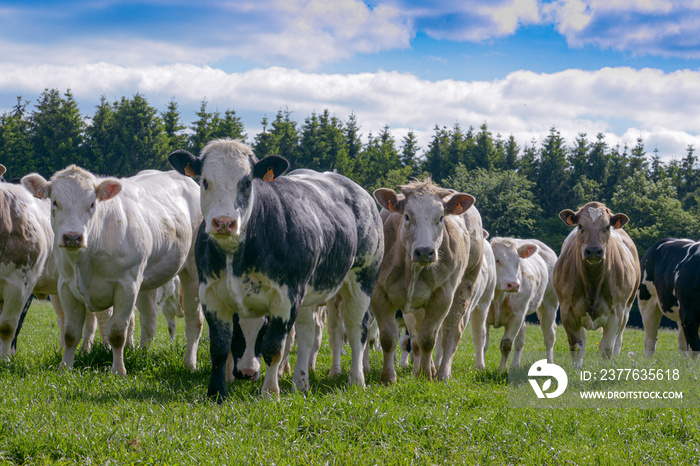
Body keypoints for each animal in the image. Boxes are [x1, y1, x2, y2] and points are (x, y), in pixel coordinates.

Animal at [21, 166, 202, 374]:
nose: (73, 237)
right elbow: (70, 334)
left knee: (194, 319)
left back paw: (190, 363)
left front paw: (118, 370)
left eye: (92, 204)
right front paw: (65, 367)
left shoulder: (127, 286)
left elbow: (117, 333)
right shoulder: (65, 287)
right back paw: (143, 354)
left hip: (192, 272)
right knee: (149, 320)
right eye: (55, 202)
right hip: (146, 282)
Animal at [169, 138, 382, 400]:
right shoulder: (211, 295)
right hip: (309, 293)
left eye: (247, 182)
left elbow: (274, 348)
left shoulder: (286, 299)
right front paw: (216, 392)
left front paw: (270, 391)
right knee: (307, 334)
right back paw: (301, 381)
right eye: (205, 181)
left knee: (356, 329)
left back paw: (357, 379)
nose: (224, 222)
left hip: (362, 279)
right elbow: (219, 347)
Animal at [372, 178, 482, 382]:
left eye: (441, 218)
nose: (424, 251)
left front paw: (426, 375)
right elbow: (389, 338)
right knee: (415, 336)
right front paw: (389, 377)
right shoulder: (379, 294)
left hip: (464, 288)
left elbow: (428, 338)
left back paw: (442, 374)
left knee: (450, 333)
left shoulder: (442, 297)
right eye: (407, 216)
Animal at [484, 238, 556, 370]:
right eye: (496, 259)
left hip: (550, 304)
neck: (498, 296)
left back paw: (550, 363)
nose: (514, 284)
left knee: (549, 336)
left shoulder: (517, 316)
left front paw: (502, 369)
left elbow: (506, 344)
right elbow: (483, 343)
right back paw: (515, 365)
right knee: (521, 337)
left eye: (518, 261)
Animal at [552, 202, 640, 366]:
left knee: (618, 339)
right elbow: (577, 344)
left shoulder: (616, 312)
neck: (592, 281)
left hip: (627, 307)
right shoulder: (567, 310)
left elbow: (606, 348)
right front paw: (576, 368)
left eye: (606, 226)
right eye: (580, 225)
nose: (593, 251)